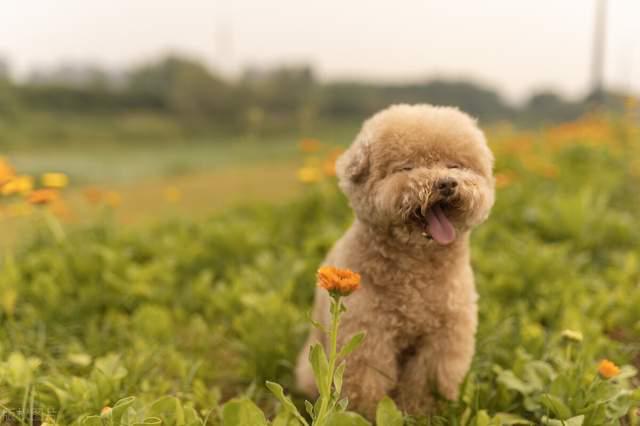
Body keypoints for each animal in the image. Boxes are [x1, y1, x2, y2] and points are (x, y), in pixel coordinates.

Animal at [296, 104, 496, 420]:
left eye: (455, 166)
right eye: (407, 167)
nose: (446, 183)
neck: (417, 270)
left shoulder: (444, 337)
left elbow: (427, 382)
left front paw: (421, 414)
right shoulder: (369, 335)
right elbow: (367, 385)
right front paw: (366, 415)